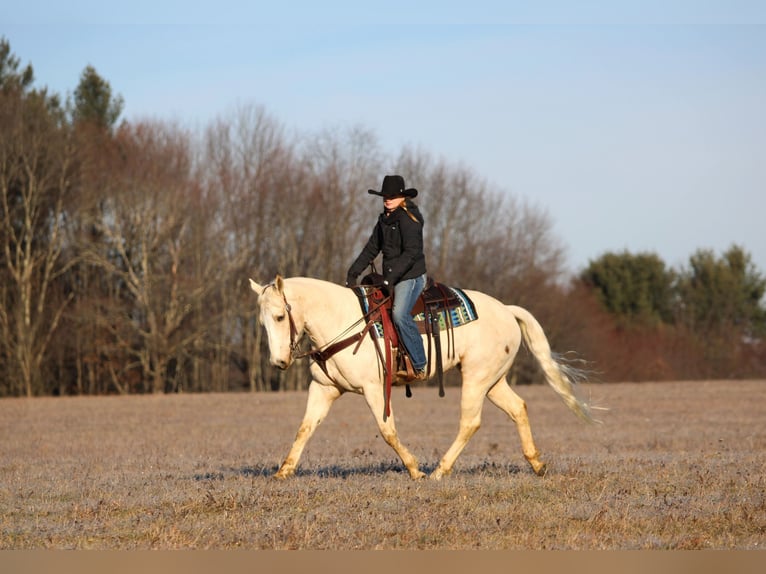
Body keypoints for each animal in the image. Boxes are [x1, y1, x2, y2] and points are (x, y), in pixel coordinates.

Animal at [249, 274, 595, 480]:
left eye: (279, 316)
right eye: (262, 322)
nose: (278, 361)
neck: (343, 321)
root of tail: (507, 310)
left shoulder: (374, 389)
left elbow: (387, 431)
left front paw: (415, 470)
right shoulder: (324, 389)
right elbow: (305, 429)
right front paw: (283, 472)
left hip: (476, 378)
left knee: (470, 422)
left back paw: (440, 470)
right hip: (494, 381)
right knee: (518, 408)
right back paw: (536, 463)